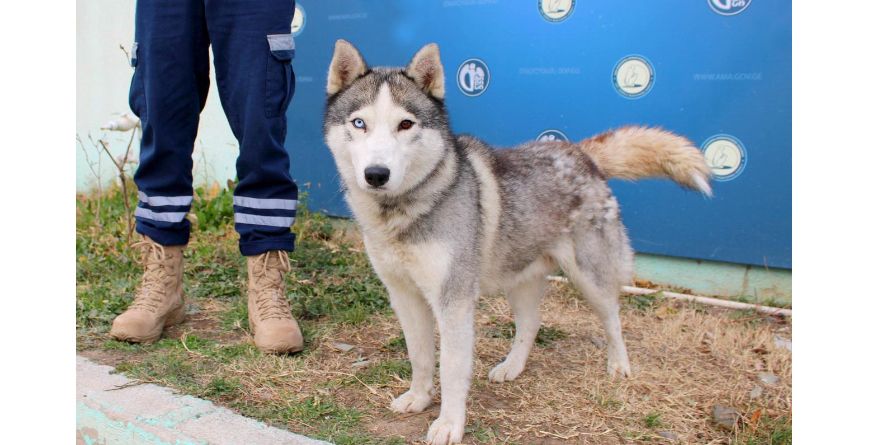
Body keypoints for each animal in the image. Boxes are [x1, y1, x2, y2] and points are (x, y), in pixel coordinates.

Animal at [324, 40, 716, 442]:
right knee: (531, 324)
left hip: (589, 278)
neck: (403, 212)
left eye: (405, 124)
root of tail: (579, 152)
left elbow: (451, 368)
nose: (376, 174)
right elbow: (419, 356)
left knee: (613, 318)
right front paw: (419, 398)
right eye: (359, 123)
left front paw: (449, 424)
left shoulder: (454, 301)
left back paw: (618, 365)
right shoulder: (404, 295)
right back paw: (512, 366)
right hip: (520, 277)